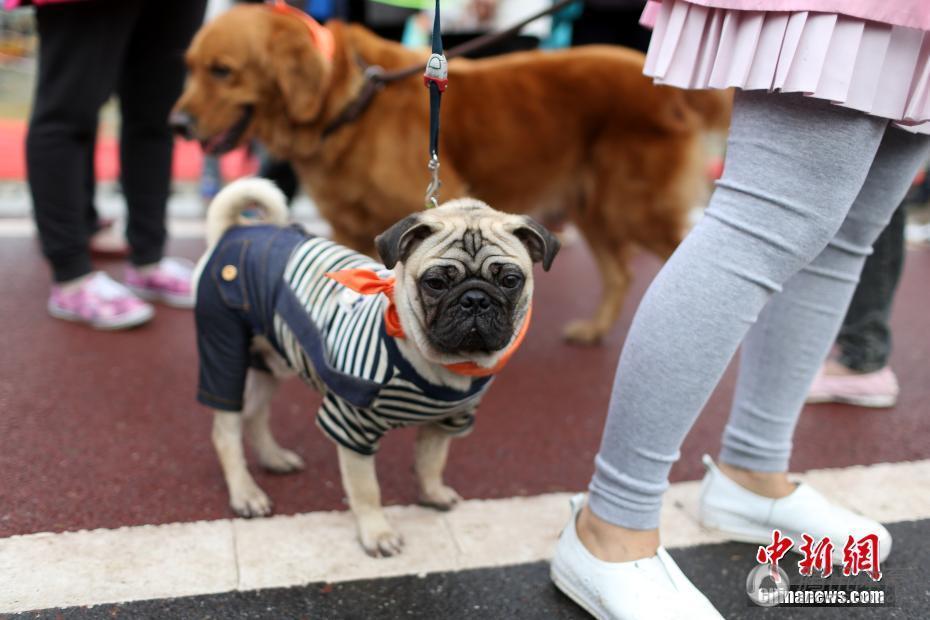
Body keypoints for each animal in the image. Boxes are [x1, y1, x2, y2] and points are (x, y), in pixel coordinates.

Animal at [196, 177, 560, 556]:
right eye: (435, 283)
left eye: (510, 281)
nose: (475, 298)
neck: (440, 363)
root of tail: (236, 231)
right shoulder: (351, 425)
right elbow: (366, 489)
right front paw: (377, 533)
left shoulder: (445, 422)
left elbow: (431, 462)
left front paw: (432, 494)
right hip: (223, 350)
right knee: (226, 431)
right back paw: (246, 493)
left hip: (272, 362)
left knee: (255, 414)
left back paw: (274, 459)